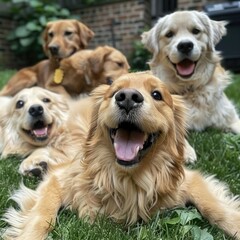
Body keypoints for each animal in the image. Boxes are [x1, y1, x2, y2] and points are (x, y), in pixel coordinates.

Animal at [2, 72, 240, 239]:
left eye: (157, 94)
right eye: (115, 91)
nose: (127, 98)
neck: (128, 178)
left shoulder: (188, 180)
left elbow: (215, 208)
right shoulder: (59, 178)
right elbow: (42, 215)